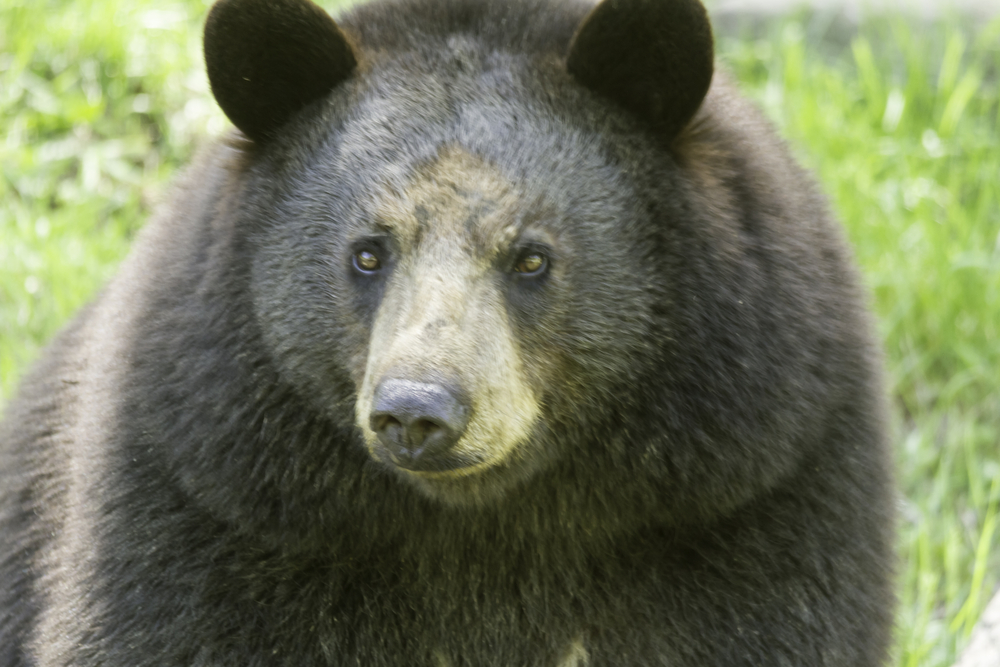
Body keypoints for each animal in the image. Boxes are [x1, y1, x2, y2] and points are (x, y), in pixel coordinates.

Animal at [0, 0, 896, 664]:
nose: (417, 411)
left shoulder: (749, 493)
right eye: (367, 251)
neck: (482, 525)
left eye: (532, 257)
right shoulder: (206, 501)